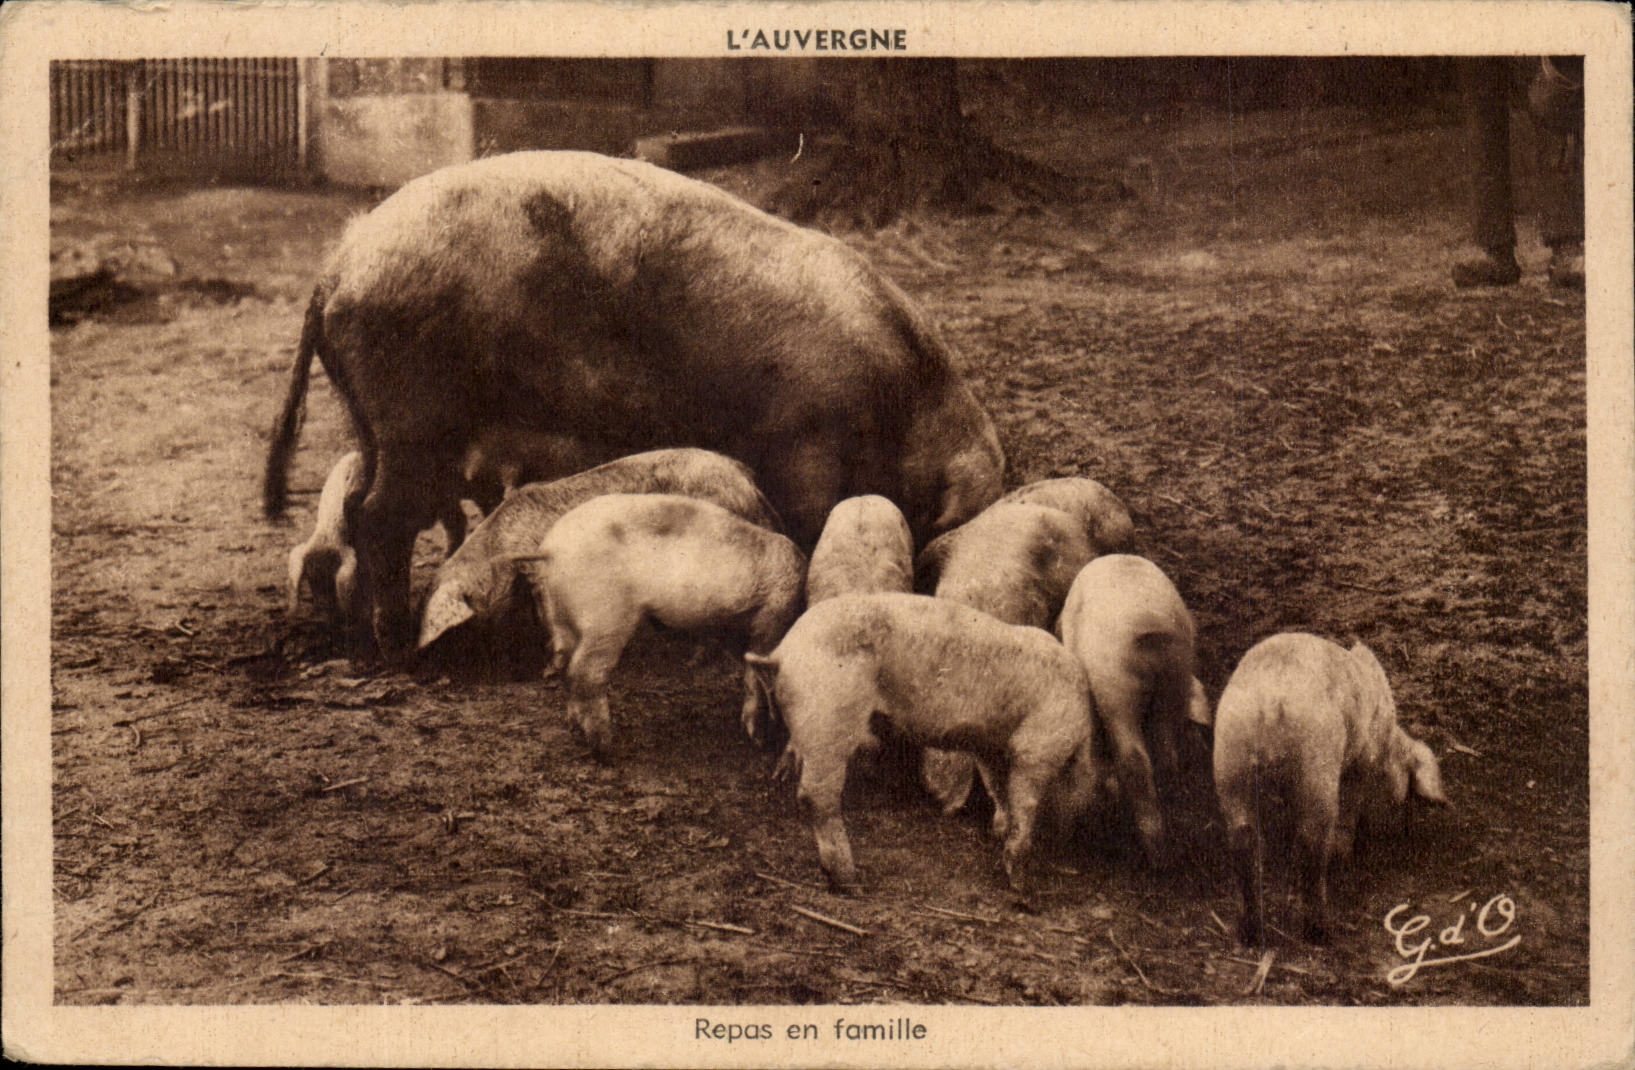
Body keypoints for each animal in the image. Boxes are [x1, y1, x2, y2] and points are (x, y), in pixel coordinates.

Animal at [530, 493, 805, 762]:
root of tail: (550, 549)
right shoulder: (773, 613)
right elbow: (756, 676)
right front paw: (758, 741)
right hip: (605, 616)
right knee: (585, 673)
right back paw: (606, 749)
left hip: (560, 618)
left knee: (566, 666)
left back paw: (574, 727)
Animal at [744, 592, 1106, 895]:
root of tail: (782, 654)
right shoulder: (1039, 745)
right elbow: (1024, 802)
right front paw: (1021, 885)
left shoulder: (991, 748)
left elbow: (998, 789)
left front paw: (998, 832)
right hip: (829, 718)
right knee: (816, 796)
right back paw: (848, 881)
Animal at [1057, 554, 1212, 869]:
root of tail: (1150, 626)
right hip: (1174, 677)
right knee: (1165, 757)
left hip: (1116, 685)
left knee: (1134, 759)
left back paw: (1153, 854)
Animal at [1212, 633, 1449, 945]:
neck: (1388, 744)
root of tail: (1270, 700)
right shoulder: (1361, 762)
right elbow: (1351, 805)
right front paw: (1345, 854)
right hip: (1317, 765)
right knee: (1312, 844)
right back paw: (1321, 931)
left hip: (1230, 760)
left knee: (1243, 840)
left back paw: (1247, 933)